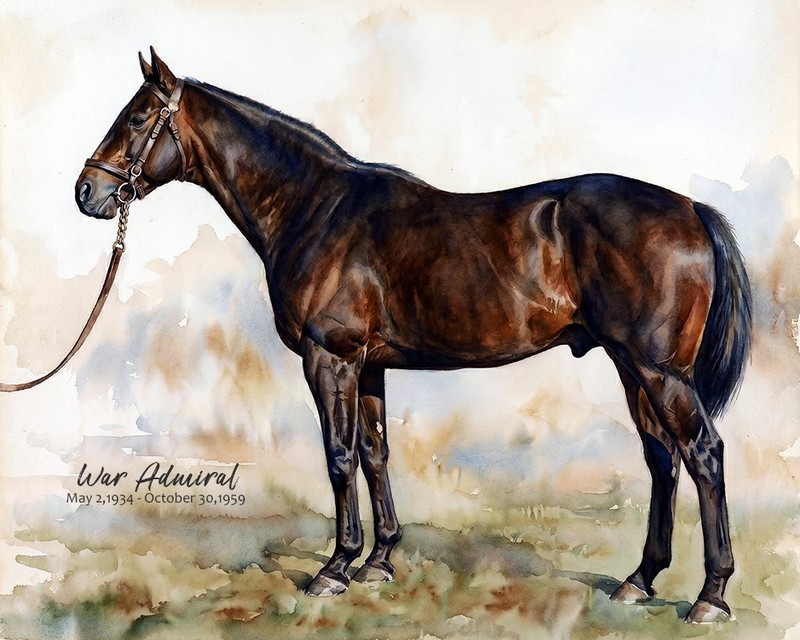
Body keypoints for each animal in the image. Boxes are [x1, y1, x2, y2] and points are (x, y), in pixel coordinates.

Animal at [75, 48, 751, 624]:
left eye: (137, 118)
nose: (87, 191)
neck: (314, 208)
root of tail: (691, 210)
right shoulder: (369, 365)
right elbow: (375, 453)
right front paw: (379, 561)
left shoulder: (330, 359)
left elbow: (340, 455)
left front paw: (335, 567)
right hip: (630, 365)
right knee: (662, 458)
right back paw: (640, 581)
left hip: (659, 370)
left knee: (703, 453)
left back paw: (710, 597)